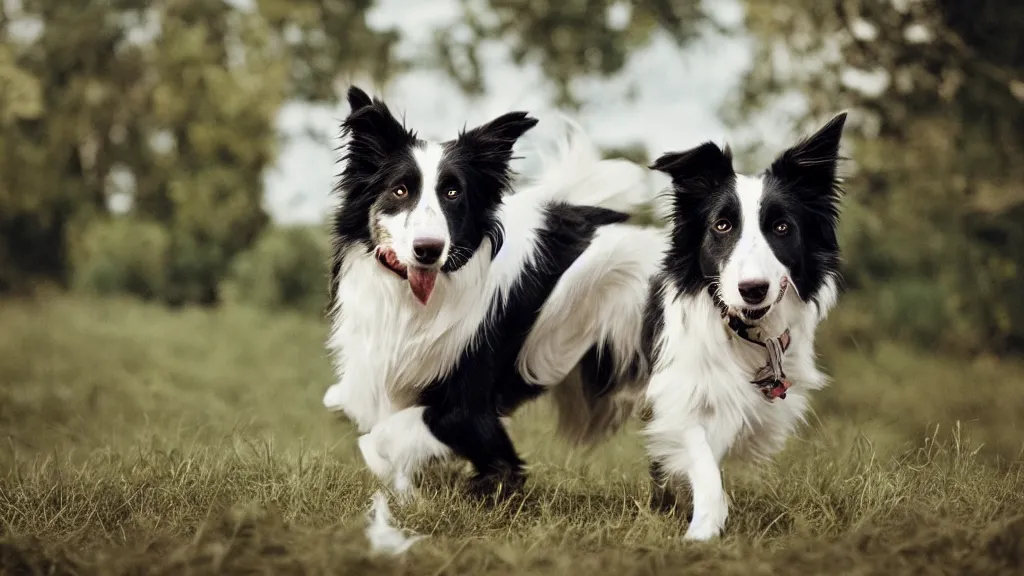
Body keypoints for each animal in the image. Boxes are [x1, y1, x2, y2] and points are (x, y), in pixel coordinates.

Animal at [634, 112, 851, 537]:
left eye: (782, 228)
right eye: (721, 226)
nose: (752, 290)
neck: (744, 333)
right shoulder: (677, 390)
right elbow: (700, 457)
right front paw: (702, 530)